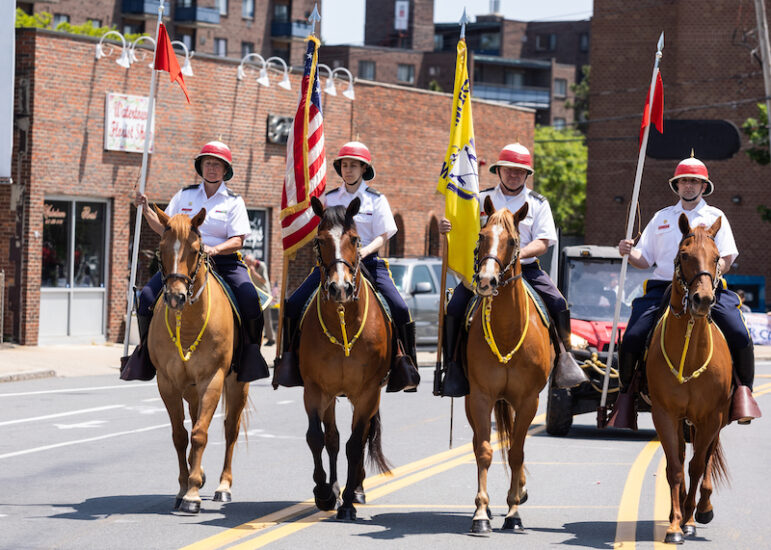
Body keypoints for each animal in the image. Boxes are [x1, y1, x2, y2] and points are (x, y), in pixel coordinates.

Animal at [149, 206, 250, 512]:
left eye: (195, 250)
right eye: (161, 247)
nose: (176, 297)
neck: (189, 324)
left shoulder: (212, 379)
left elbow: (200, 434)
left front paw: (192, 494)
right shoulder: (167, 382)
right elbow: (180, 435)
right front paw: (184, 487)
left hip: (237, 384)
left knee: (230, 429)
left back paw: (223, 486)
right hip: (191, 390)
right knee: (195, 420)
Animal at [302, 197, 396, 520]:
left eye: (355, 239)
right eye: (319, 240)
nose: (339, 288)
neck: (343, 321)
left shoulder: (367, 392)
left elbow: (355, 444)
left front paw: (347, 502)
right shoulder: (315, 389)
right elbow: (317, 438)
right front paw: (323, 491)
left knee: (363, 435)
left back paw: (355, 490)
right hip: (332, 395)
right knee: (332, 438)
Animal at [464, 199, 556, 540]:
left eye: (514, 241)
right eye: (482, 235)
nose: (486, 281)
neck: (506, 330)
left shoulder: (529, 399)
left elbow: (517, 452)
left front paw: (514, 512)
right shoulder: (480, 396)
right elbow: (484, 450)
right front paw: (481, 512)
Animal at [648, 213, 732, 544]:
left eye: (717, 257)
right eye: (684, 255)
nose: (703, 300)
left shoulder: (711, 416)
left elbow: (697, 466)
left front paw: (690, 519)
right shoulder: (665, 414)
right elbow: (675, 467)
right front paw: (674, 525)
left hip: (715, 419)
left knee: (706, 457)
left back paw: (701, 509)